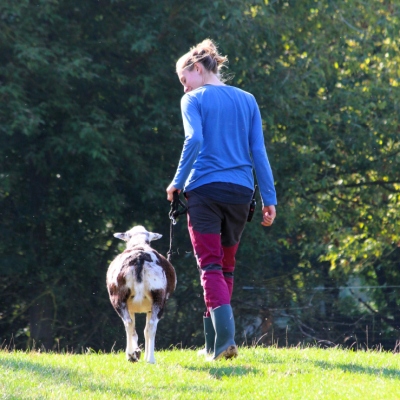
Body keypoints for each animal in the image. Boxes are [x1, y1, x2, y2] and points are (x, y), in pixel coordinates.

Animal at [106, 225, 177, 362]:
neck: (139, 243)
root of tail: (139, 257)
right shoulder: (143, 308)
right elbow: (144, 330)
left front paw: (134, 352)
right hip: (157, 295)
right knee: (149, 325)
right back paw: (147, 358)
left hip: (119, 296)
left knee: (130, 323)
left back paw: (134, 355)